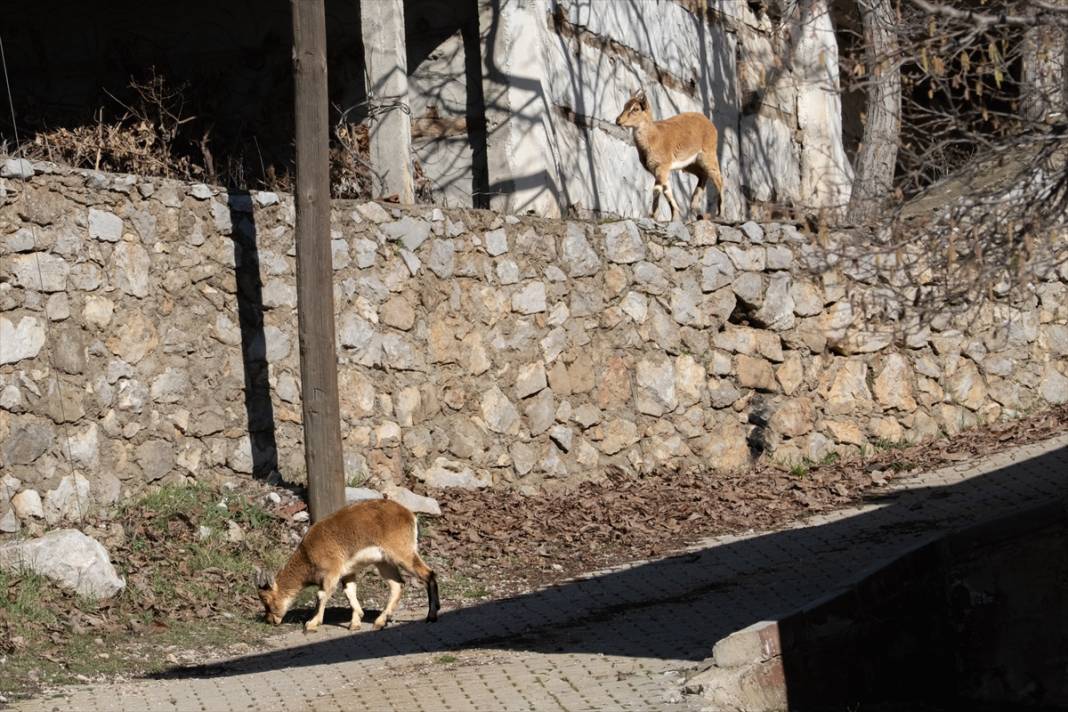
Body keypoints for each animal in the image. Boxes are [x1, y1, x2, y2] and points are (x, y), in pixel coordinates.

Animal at [256, 499, 440, 631]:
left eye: (266, 600)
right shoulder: (347, 573)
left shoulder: (331, 573)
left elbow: (321, 595)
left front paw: (312, 624)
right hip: (384, 562)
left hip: (402, 554)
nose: (270, 620)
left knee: (428, 574)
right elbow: (349, 593)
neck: (307, 554)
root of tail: (410, 515)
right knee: (397, 585)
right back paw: (380, 622)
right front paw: (355, 622)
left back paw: (431, 616)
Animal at [615, 89, 721, 223]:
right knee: (703, 175)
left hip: (708, 154)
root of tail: (711, 125)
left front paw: (653, 215)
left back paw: (719, 213)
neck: (654, 138)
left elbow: (657, 189)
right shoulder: (658, 169)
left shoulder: (662, 166)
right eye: (625, 106)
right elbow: (667, 190)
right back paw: (695, 209)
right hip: (690, 164)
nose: (618, 120)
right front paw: (674, 216)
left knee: (718, 177)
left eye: (636, 108)